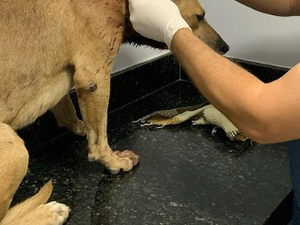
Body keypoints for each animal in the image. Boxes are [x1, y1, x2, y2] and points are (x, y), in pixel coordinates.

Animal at [0, 0, 226, 225]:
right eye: (200, 17)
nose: (226, 47)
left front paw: (81, 127)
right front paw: (114, 162)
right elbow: (100, 140)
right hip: (16, 150)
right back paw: (48, 213)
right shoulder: (94, 78)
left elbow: (68, 110)